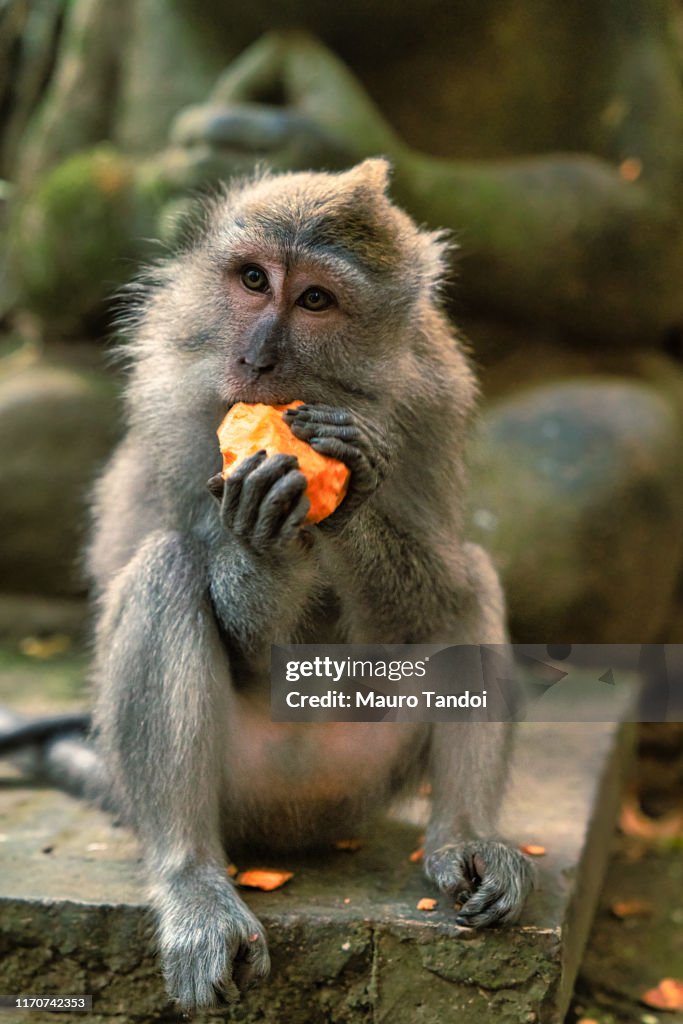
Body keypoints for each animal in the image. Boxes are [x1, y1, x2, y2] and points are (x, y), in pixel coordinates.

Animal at [2, 159, 532, 1007]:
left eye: (314, 299)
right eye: (252, 280)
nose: (253, 359)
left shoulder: (431, 401)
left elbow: (416, 612)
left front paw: (350, 494)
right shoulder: (176, 406)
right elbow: (239, 625)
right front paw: (261, 544)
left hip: (362, 773)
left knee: (466, 580)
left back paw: (466, 840)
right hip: (231, 788)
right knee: (165, 568)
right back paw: (192, 883)